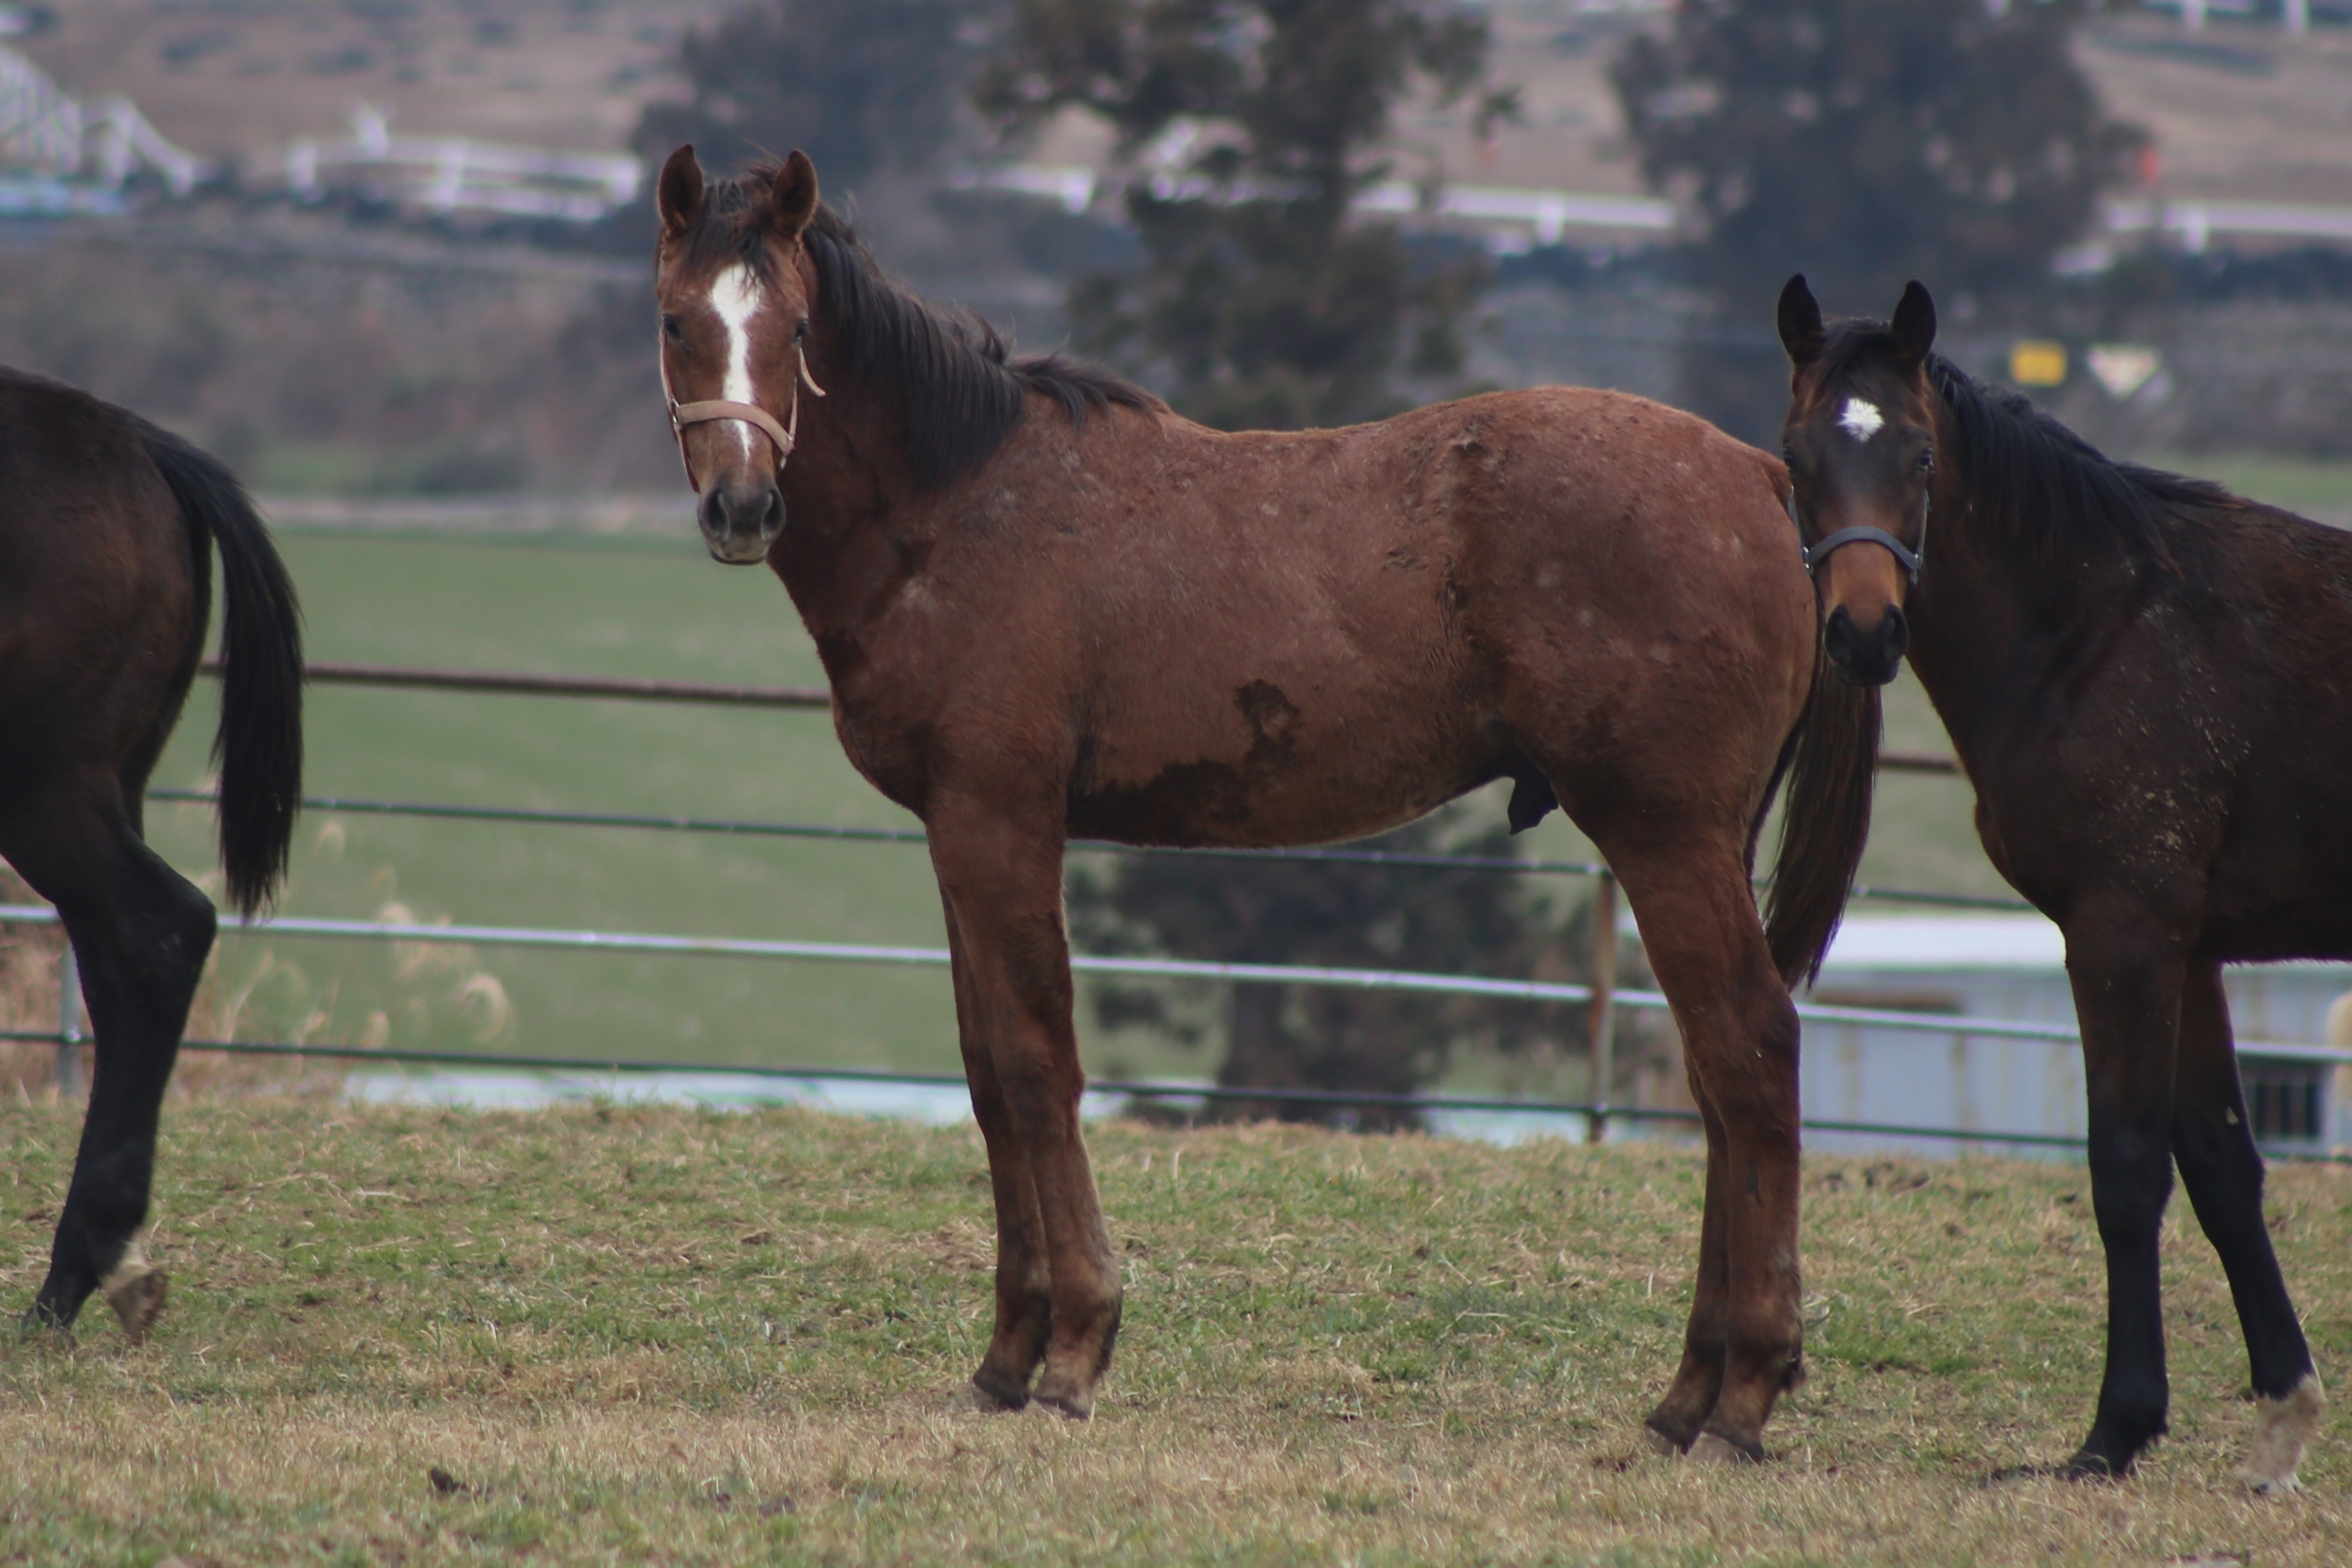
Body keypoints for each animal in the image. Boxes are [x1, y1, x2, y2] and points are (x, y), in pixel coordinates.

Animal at [653, 146, 1881, 1457]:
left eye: (792, 329)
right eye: (678, 321)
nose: (742, 508)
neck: (957, 507)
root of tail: (1761, 476)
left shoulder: (1002, 821)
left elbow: (1039, 1066)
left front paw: (1074, 1348)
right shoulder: (956, 831)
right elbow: (988, 1074)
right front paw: (1003, 1356)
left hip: (1665, 835)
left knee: (1750, 1052)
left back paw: (1744, 1394)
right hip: (1704, 841)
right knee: (1717, 1079)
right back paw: (1690, 1390)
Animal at [1777, 273, 2333, 1495]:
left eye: (1920, 456)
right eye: (1797, 455)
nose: (1864, 632)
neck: (2104, 630)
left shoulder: (2122, 934)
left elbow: (2125, 1170)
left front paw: (2116, 1429)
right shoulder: (2189, 950)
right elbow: (2221, 1167)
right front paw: (2283, 1417)